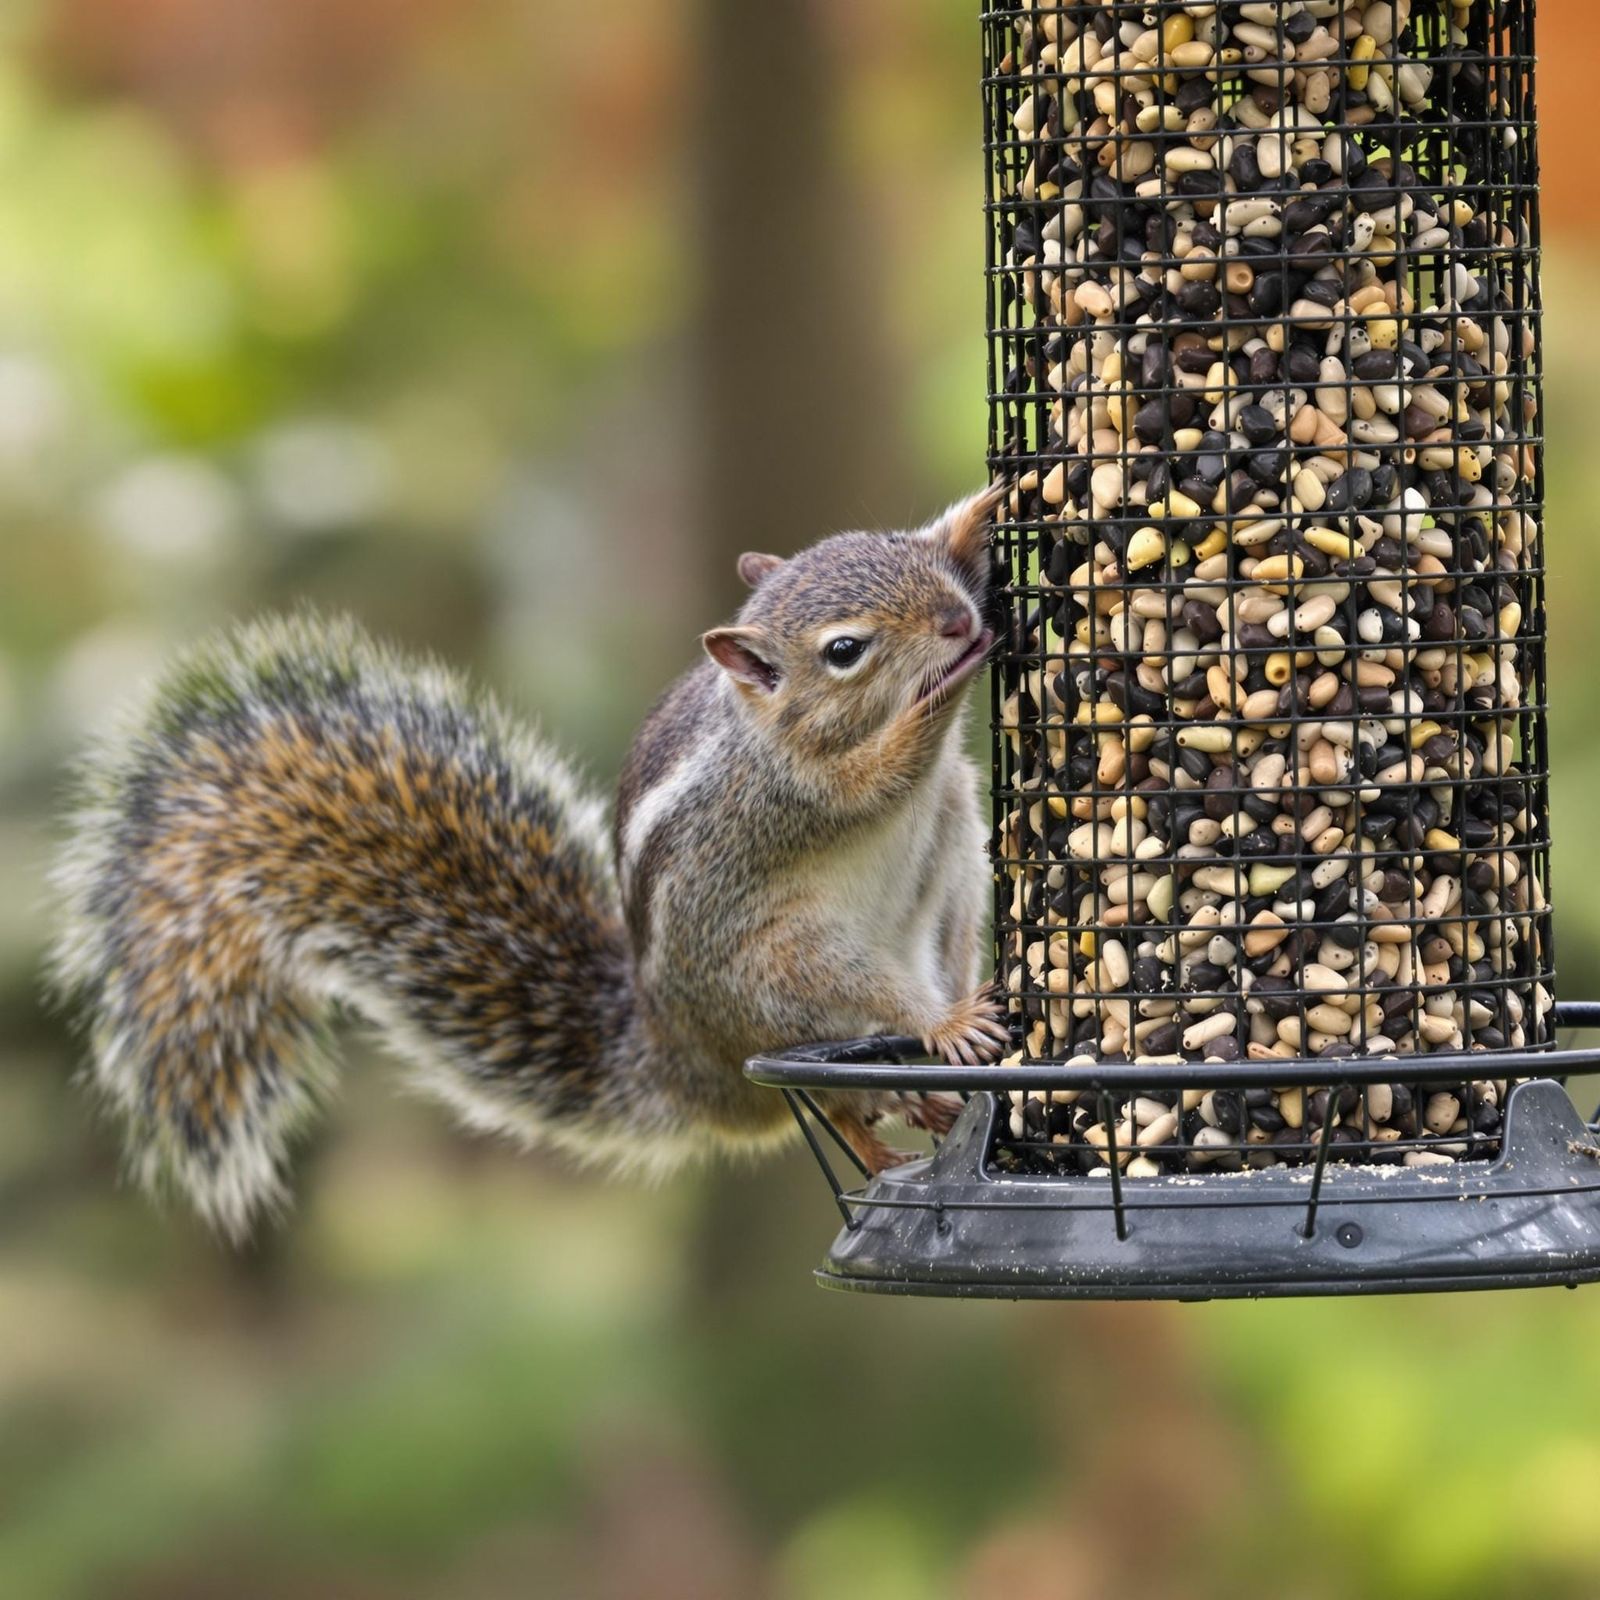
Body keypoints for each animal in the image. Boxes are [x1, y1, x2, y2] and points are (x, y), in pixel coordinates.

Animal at [47, 486, 1010, 1237]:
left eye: (903, 548)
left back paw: (940, 1077)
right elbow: (870, 777)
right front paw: (930, 696)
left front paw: (979, 515)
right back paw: (935, 1043)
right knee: (847, 1086)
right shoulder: (788, 794)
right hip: (786, 969)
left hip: (956, 870)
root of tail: (684, 1062)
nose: (960, 620)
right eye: (846, 651)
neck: (764, 726)